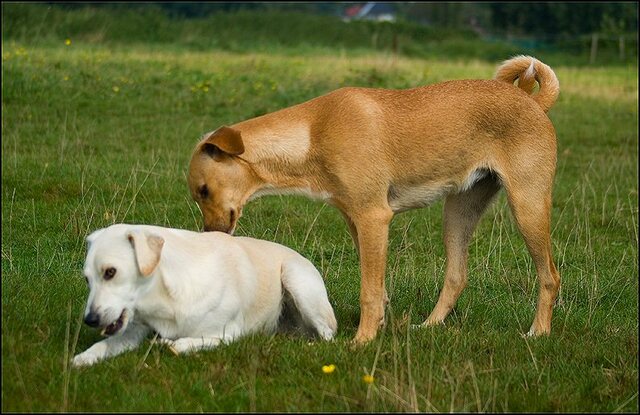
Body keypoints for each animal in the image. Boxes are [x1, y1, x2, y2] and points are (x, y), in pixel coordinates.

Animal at [72, 224, 338, 368]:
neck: (165, 298)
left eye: (110, 272)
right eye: (87, 279)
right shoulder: (133, 331)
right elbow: (103, 344)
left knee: (328, 336)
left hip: (295, 278)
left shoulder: (229, 334)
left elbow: (183, 343)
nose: (90, 320)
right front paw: (82, 359)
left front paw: (171, 344)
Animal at [188, 55, 564, 344]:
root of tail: (534, 103)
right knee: (457, 276)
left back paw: (539, 332)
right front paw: (379, 327)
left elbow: (368, 290)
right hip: (458, 212)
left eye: (203, 190)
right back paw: (429, 326)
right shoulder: (356, 221)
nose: (210, 234)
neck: (313, 134)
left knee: (549, 276)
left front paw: (363, 340)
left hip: (527, 206)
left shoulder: (373, 217)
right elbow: (377, 287)